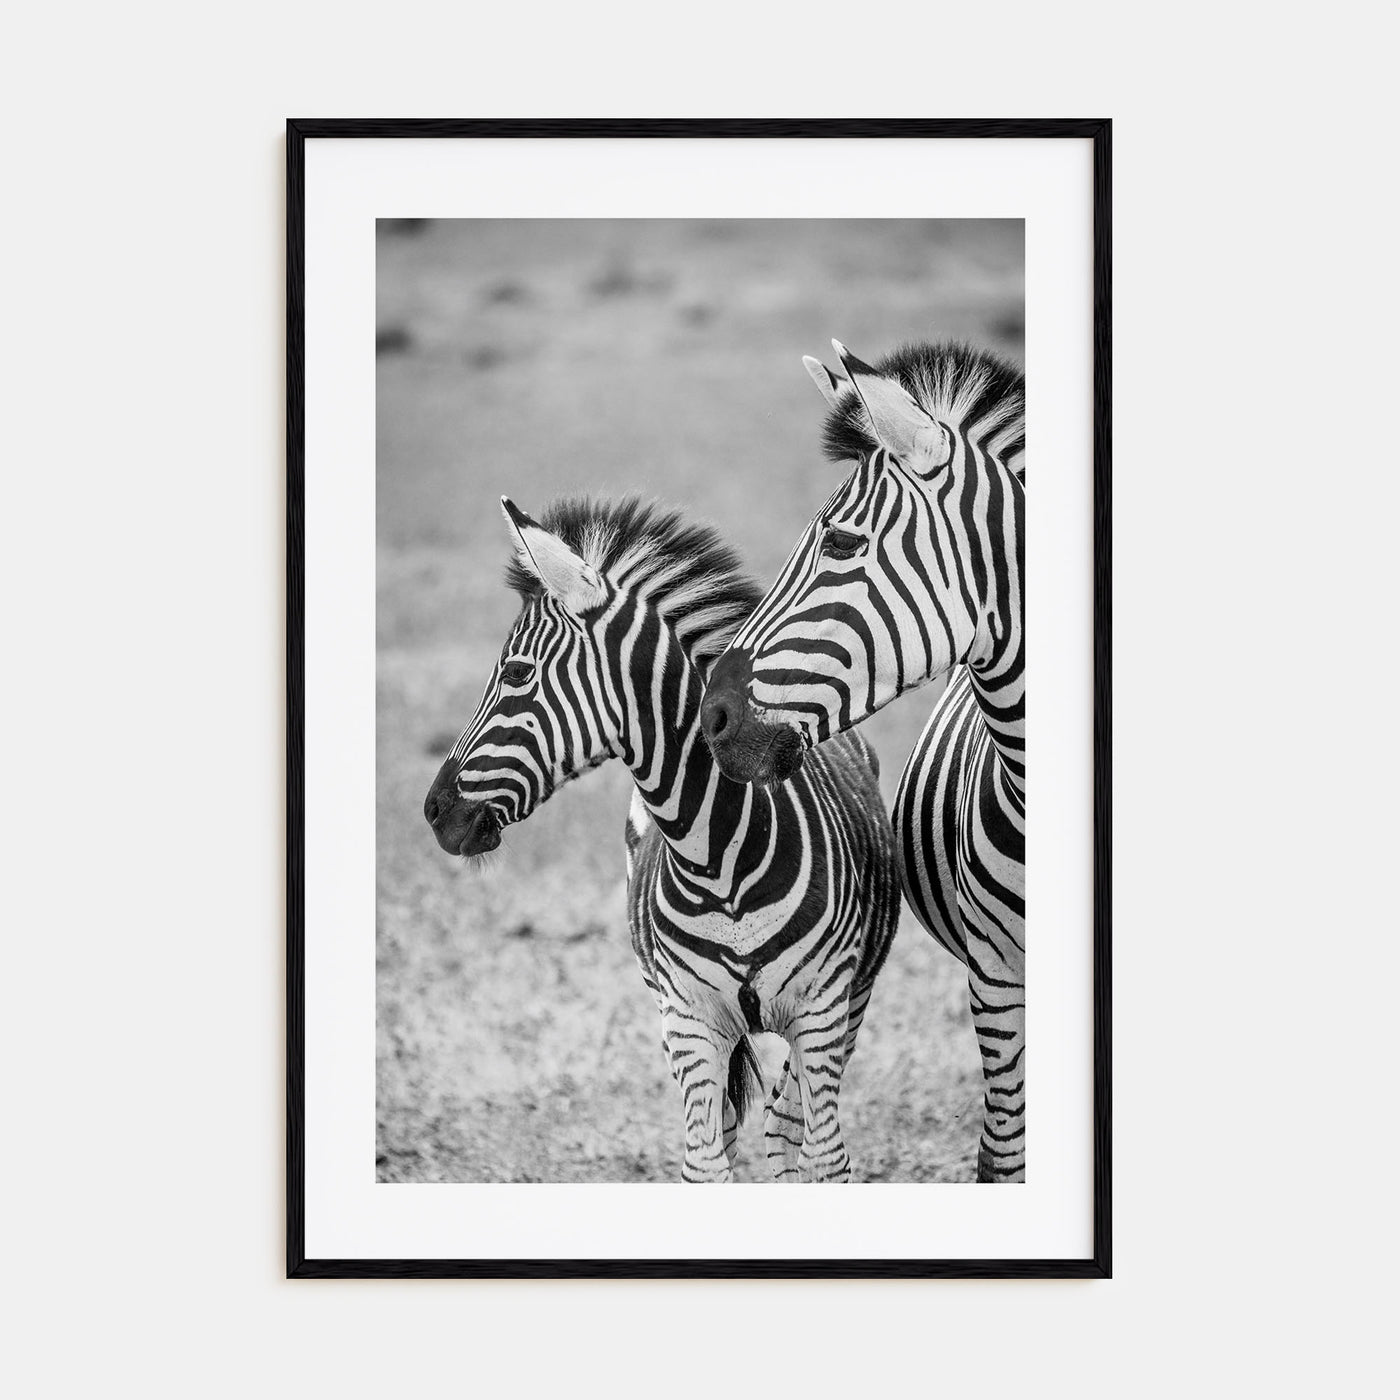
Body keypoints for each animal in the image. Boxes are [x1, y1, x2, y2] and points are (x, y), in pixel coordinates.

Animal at [422, 495, 900, 1182]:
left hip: (849, 1005)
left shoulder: (823, 1013)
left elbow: (827, 1158)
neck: (720, 859)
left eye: (515, 673)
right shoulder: (689, 1022)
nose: (434, 811)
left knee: (787, 1127)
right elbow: (705, 1165)